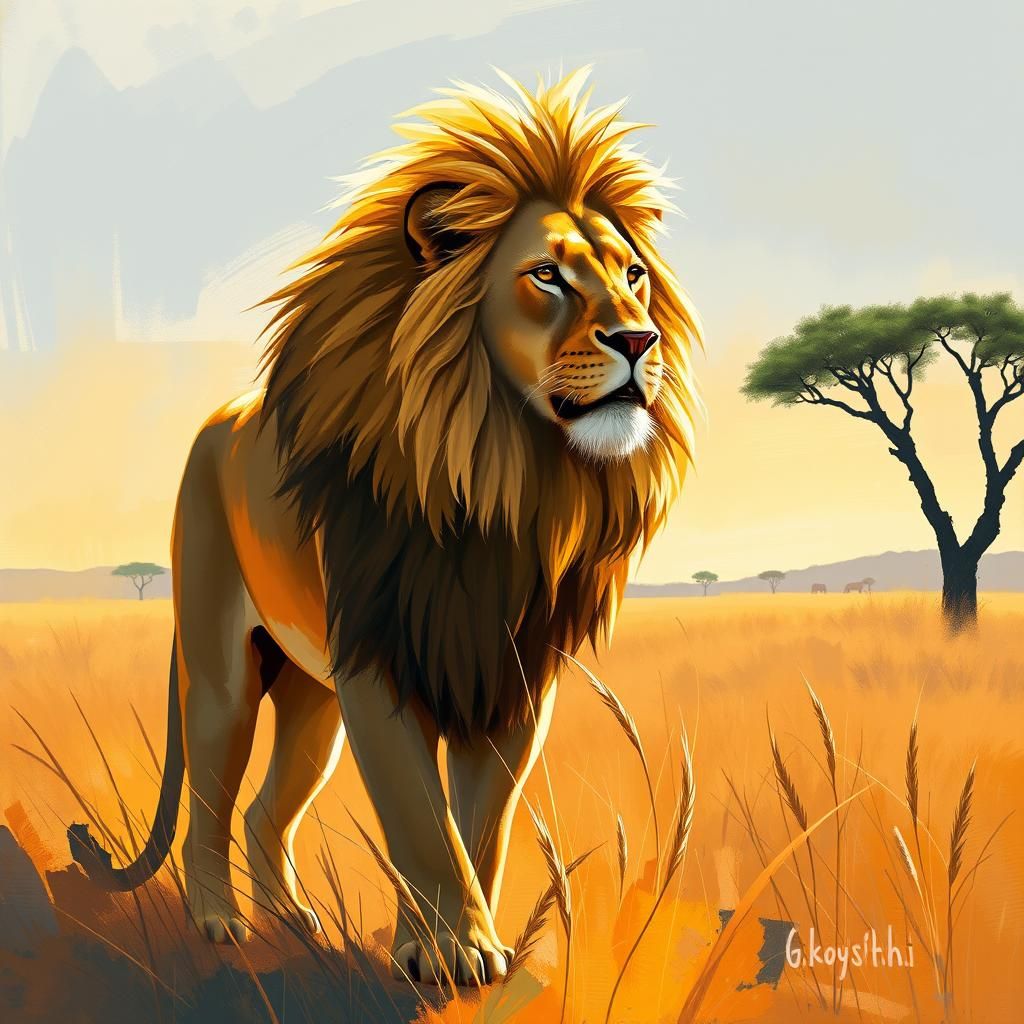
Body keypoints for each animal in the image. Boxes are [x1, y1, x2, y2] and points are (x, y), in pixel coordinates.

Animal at [77, 69, 700, 986]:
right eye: (546, 275)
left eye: (633, 275)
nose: (639, 338)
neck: (508, 482)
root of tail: (215, 424)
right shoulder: (381, 664)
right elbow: (418, 816)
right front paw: (454, 949)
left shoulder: (510, 679)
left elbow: (478, 829)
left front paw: (449, 945)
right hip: (226, 675)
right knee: (210, 804)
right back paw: (220, 922)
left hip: (312, 699)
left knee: (265, 812)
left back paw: (293, 920)